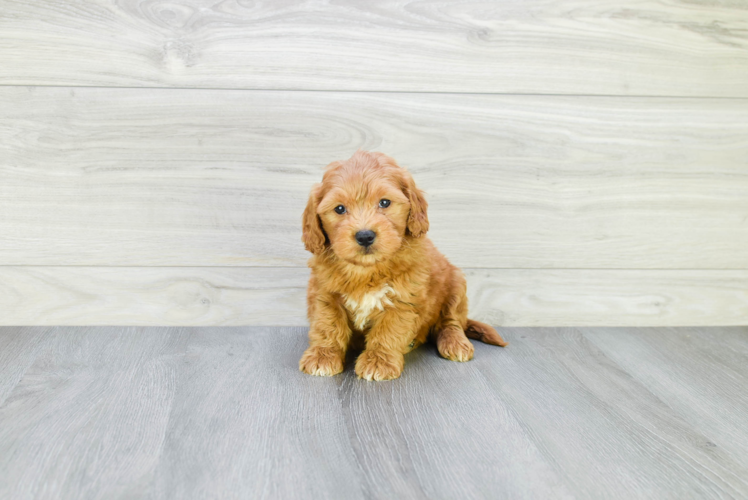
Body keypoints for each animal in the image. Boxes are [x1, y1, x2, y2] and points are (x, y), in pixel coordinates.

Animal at [300, 150, 508, 380]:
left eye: (384, 203)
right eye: (339, 208)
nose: (364, 236)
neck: (366, 270)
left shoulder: (403, 299)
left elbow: (388, 331)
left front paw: (378, 361)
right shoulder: (325, 294)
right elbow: (327, 325)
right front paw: (322, 356)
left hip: (456, 284)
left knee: (451, 321)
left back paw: (454, 342)